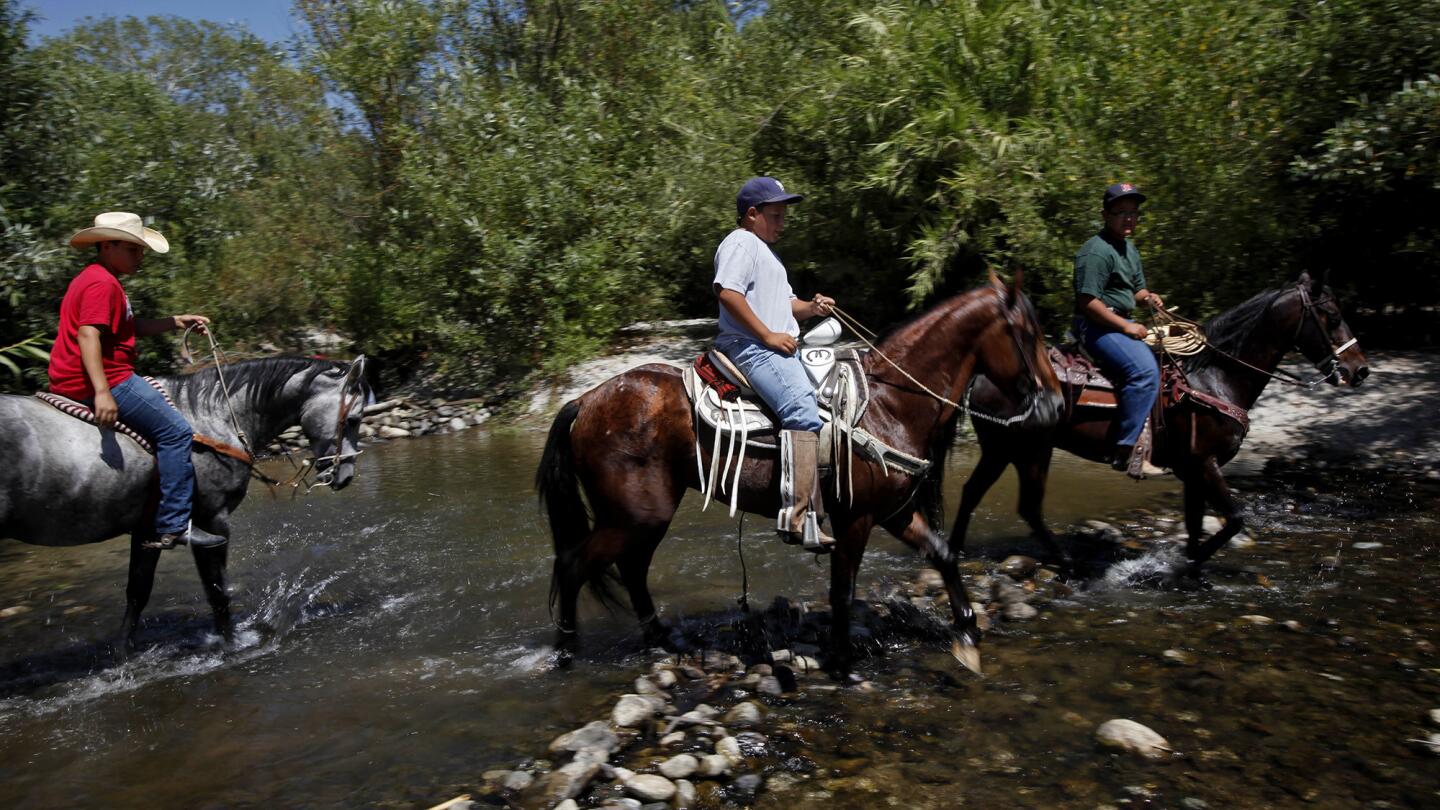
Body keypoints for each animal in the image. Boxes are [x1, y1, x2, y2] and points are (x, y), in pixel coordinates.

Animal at [1, 354, 371, 648]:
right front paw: (231, 644)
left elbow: (137, 594)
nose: (346, 475)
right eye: (353, 419)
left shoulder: (148, 530)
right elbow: (217, 591)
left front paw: (122, 655)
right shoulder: (212, 519)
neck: (212, 417)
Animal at [535, 273, 1065, 671]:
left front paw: (968, 631)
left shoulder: (893, 512)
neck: (889, 404)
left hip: (643, 517)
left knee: (632, 569)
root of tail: (586, 400)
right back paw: (566, 653)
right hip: (634, 516)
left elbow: (943, 553)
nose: (1058, 403)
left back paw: (659, 639)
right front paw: (843, 658)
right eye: (1029, 334)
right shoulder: (855, 520)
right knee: (575, 564)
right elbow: (842, 591)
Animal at [950, 270, 1365, 573]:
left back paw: (958, 551)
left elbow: (1196, 522)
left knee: (984, 495)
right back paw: (1064, 561)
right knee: (1018, 503)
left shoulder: (1193, 471)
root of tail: (981, 374)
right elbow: (1234, 519)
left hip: (1015, 449)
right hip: (1020, 448)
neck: (1212, 377)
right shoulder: (1204, 464)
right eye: (1331, 316)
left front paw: (1190, 565)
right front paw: (1190, 562)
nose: (1359, 370)